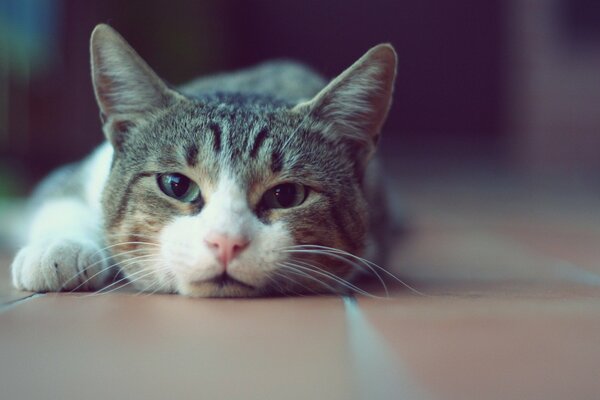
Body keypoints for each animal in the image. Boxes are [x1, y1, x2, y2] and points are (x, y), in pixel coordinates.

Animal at [9, 24, 398, 296]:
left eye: (286, 195)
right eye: (177, 185)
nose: (226, 242)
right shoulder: (81, 172)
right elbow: (59, 202)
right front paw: (58, 248)